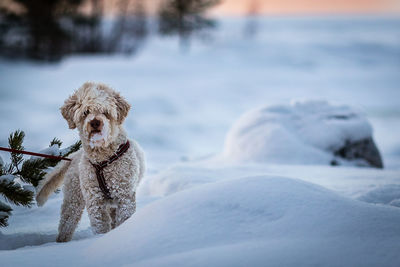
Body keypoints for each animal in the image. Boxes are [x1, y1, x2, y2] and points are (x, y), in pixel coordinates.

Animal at [35, 81, 145, 243]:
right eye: (85, 112)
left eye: (105, 112)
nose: (95, 122)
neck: (103, 160)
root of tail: (75, 155)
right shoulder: (95, 200)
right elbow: (100, 225)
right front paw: (101, 238)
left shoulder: (124, 195)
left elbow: (124, 218)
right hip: (74, 197)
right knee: (67, 222)